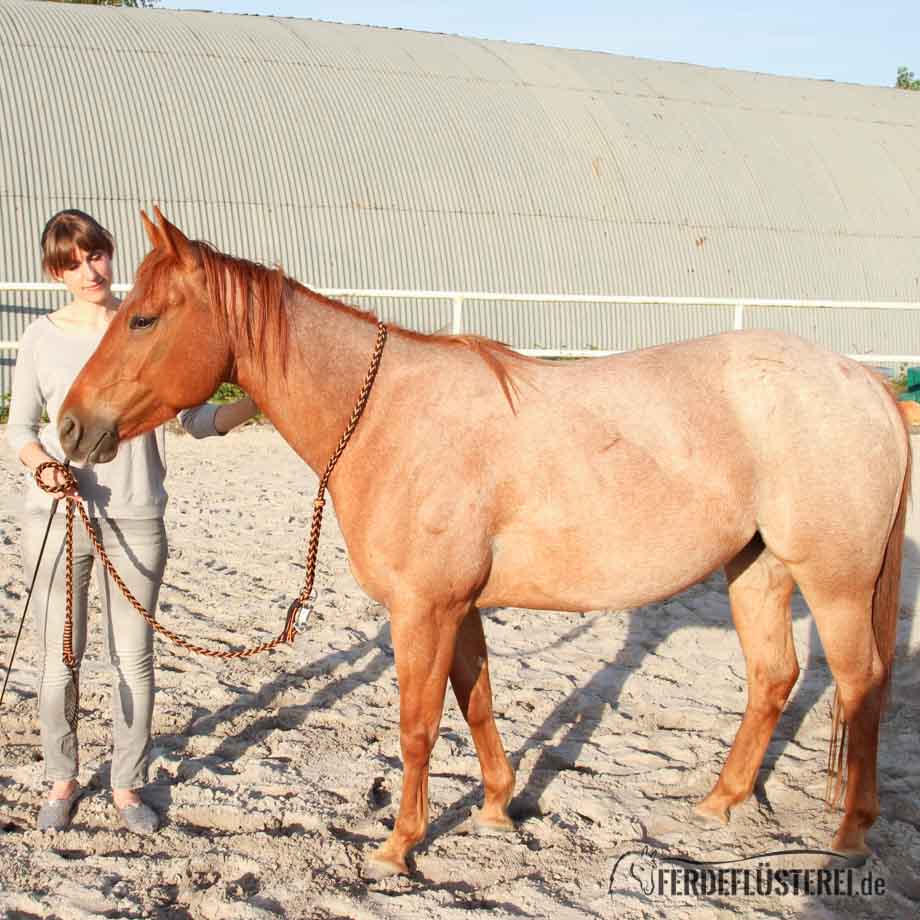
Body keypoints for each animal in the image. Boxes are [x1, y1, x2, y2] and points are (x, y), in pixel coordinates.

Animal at [59, 207, 912, 876]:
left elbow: (417, 725)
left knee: (860, 683)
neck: (384, 414)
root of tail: (863, 383)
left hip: (833, 582)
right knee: (773, 678)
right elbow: (477, 701)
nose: (68, 427)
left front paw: (398, 846)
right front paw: (499, 807)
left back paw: (848, 833)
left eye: (143, 318)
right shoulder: (458, 607)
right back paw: (718, 802)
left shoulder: (423, 610)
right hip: (757, 568)